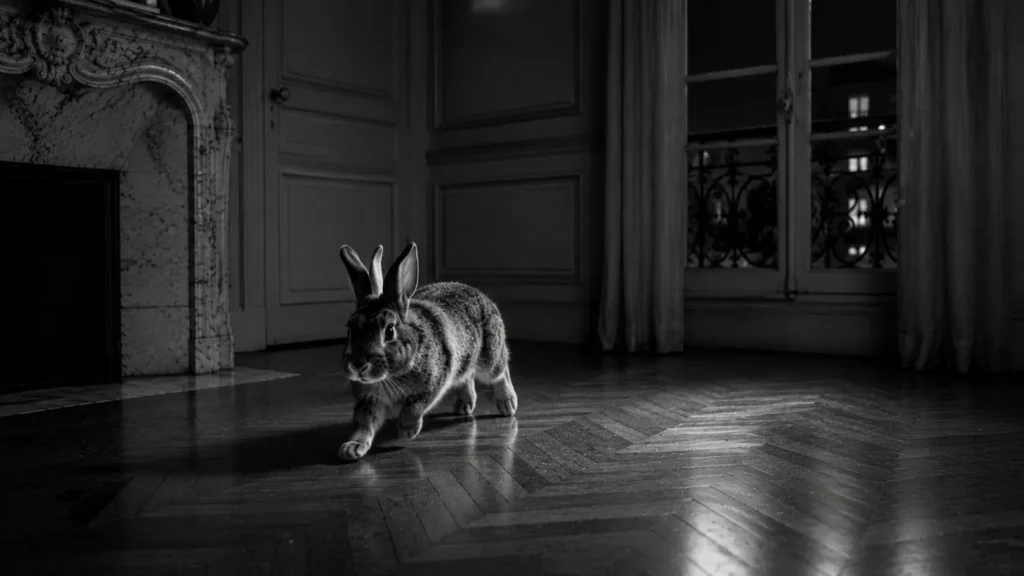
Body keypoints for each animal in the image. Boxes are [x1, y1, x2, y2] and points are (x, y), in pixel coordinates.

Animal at [336, 242, 519, 462]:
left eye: (389, 331)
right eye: (349, 330)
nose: (358, 365)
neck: (391, 374)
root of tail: (479, 293)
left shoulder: (433, 385)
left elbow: (414, 407)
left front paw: (406, 431)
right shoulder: (369, 399)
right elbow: (364, 422)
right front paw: (352, 448)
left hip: (489, 360)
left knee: (501, 371)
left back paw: (507, 404)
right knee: (467, 376)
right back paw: (464, 405)